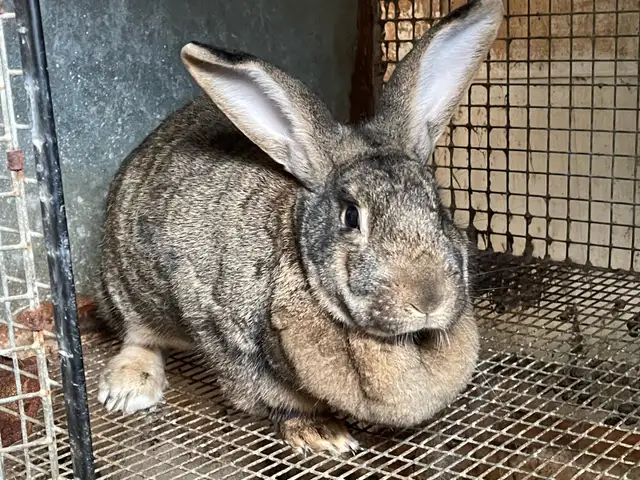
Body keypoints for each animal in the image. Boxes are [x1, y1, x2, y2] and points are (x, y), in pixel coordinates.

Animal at [97, 0, 504, 456]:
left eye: (438, 206)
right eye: (351, 216)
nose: (428, 299)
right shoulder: (224, 332)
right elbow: (270, 395)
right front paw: (322, 433)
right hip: (125, 286)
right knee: (138, 335)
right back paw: (129, 389)